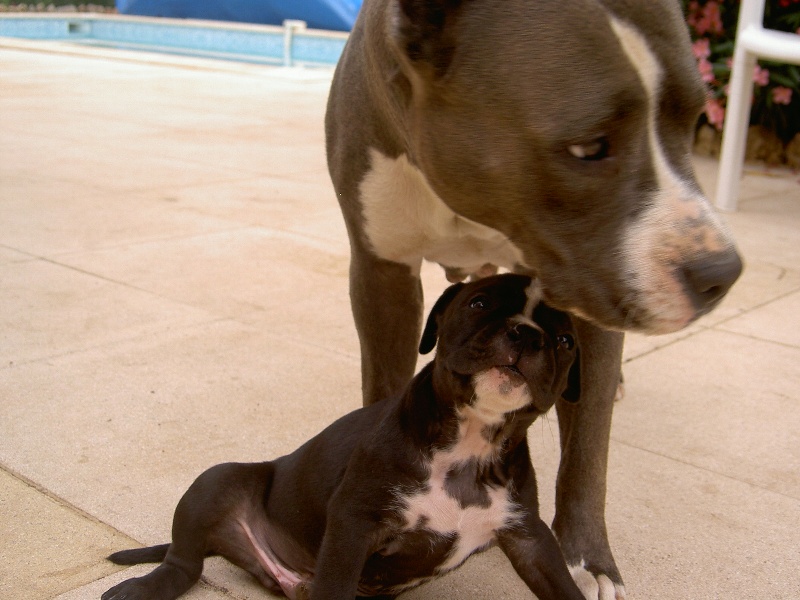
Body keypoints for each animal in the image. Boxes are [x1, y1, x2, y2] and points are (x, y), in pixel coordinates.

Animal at [103, 276, 584, 600]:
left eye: (565, 340)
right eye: (479, 303)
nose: (527, 334)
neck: (470, 440)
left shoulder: (529, 537)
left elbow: (562, 584)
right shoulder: (354, 523)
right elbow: (335, 585)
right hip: (215, 482)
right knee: (184, 562)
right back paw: (142, 588)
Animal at [324, 2, 744, 596]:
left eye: (692, 120)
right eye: (588, 147)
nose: (721, 272)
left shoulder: (588, 292)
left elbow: (588, 446)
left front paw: (587, 561)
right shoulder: (382, 274)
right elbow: (384, 386)